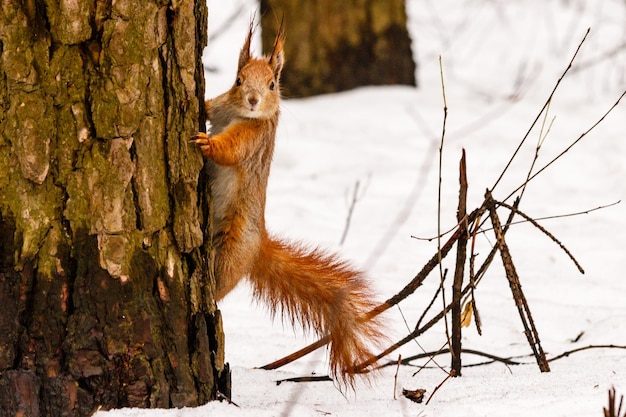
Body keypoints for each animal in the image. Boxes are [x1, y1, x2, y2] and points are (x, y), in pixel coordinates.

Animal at [191, 22, 386, 386]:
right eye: (238, 80)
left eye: (272, 84)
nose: (253, 100)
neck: (239, 113)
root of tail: (259, 245)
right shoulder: (222, 106)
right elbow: (211, 106)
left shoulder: (255, 139)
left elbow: (230, 150)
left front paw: (207, 143)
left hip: (233, 251)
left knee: (220, 286)